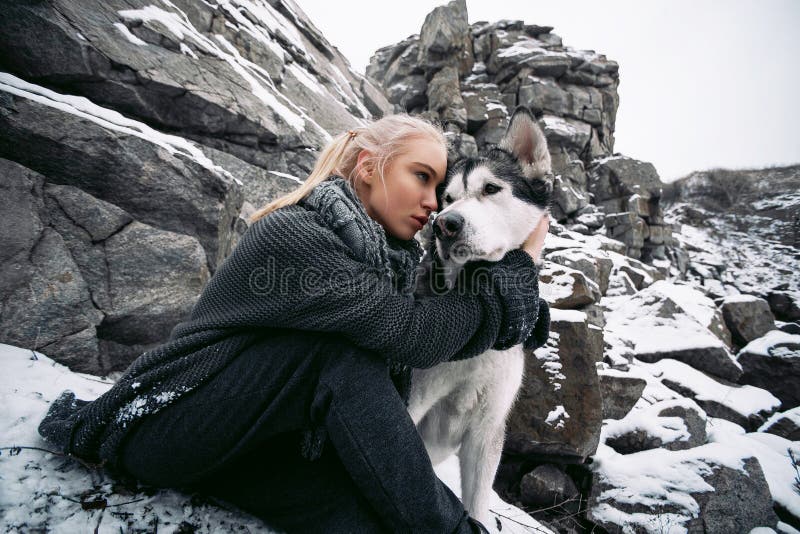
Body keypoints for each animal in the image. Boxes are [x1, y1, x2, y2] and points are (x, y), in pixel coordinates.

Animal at [410, 105, 552, 528]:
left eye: (491, 189)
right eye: (448, 198)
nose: (446, 223)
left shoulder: (487, 431)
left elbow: (477, 502)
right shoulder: (416, 398)